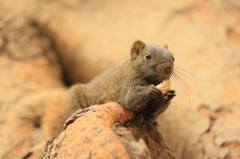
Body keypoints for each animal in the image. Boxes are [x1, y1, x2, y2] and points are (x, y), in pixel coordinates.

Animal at [5, 40, 174, 139]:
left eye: (173, 57)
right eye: (148, 56)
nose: (168, 68)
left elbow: (153, 108)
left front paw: (169, 95)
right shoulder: (125, 85)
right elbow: (130, 100)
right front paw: (150, 90)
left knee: (150, 117)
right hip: (75, 96)